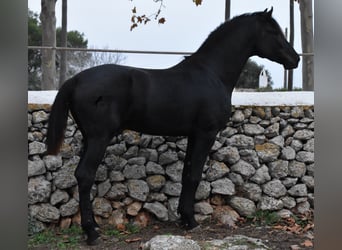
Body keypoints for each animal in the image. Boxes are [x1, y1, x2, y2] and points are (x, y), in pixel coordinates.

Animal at [46, 8, 300, 245]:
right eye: (273, 31)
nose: (295, 59)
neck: (211, 74)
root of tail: (75, 80)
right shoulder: (206, 133)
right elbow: (194, 176)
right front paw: (192, 221)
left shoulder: (193, 135)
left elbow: (187, 173)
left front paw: (184, 218)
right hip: (99, 138)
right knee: (85, 175)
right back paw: (91, 232)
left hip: (89, 138)